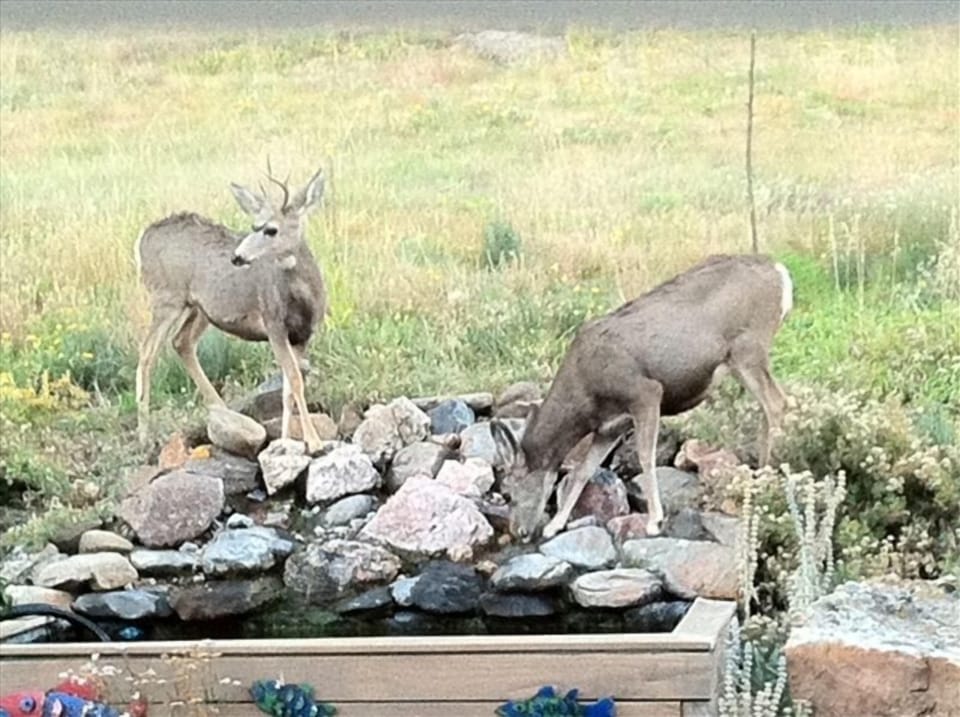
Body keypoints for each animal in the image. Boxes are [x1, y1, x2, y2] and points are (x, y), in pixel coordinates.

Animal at [135, 165, 328, 452]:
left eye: (271, 230)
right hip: (167, 297)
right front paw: (314, 442)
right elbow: (294, 380)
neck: (302, 298)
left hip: (198, 307)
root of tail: (141, 239)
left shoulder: (302, 335)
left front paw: (285, 439)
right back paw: (144, 436)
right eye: (253, 225)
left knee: (181, 342)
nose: (237, 257)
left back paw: (223, 411)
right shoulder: (273, 324)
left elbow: (288, 387)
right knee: (147, 352)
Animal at [491, 254, 793, 542]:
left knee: (777, 403)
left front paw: (654, 520)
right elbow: (582, 471)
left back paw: (767, 476)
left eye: (510, 494)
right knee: (767, 407)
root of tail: (781, 274)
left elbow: (646, 456)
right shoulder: (610, 426)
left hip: (748, 348)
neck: (585, 396)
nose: (519, 531)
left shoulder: (644, 392)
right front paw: (554, 526)